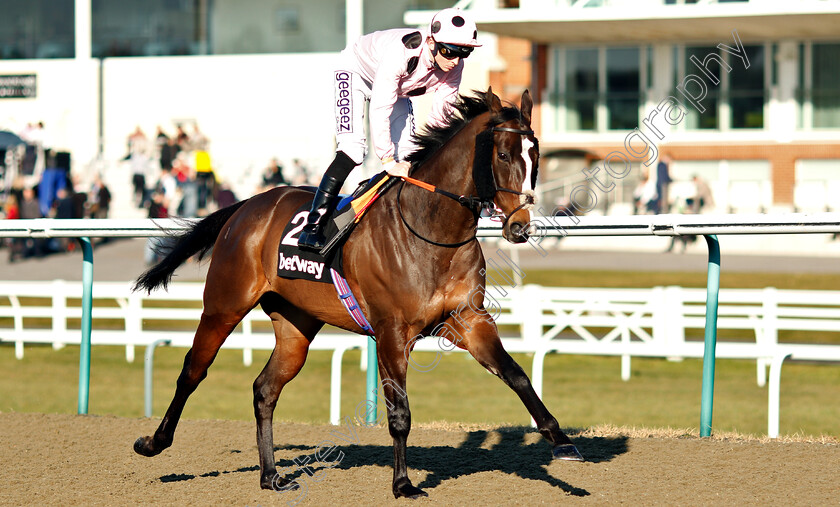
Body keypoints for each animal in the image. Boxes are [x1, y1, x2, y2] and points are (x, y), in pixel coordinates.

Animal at [135, 88, 584, 500]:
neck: (434, 231)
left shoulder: (468, 320)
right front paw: (403, 484)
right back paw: (154, 442)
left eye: (536, 156)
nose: (520, 226)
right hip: (223, 304)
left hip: (296, 325)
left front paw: (561, 442)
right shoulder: (391, 333)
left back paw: (271, 476)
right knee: (193, 370)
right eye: (504, 155)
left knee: (265, 388)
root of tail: (247, 205)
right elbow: (399, 412)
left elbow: (517, 374)